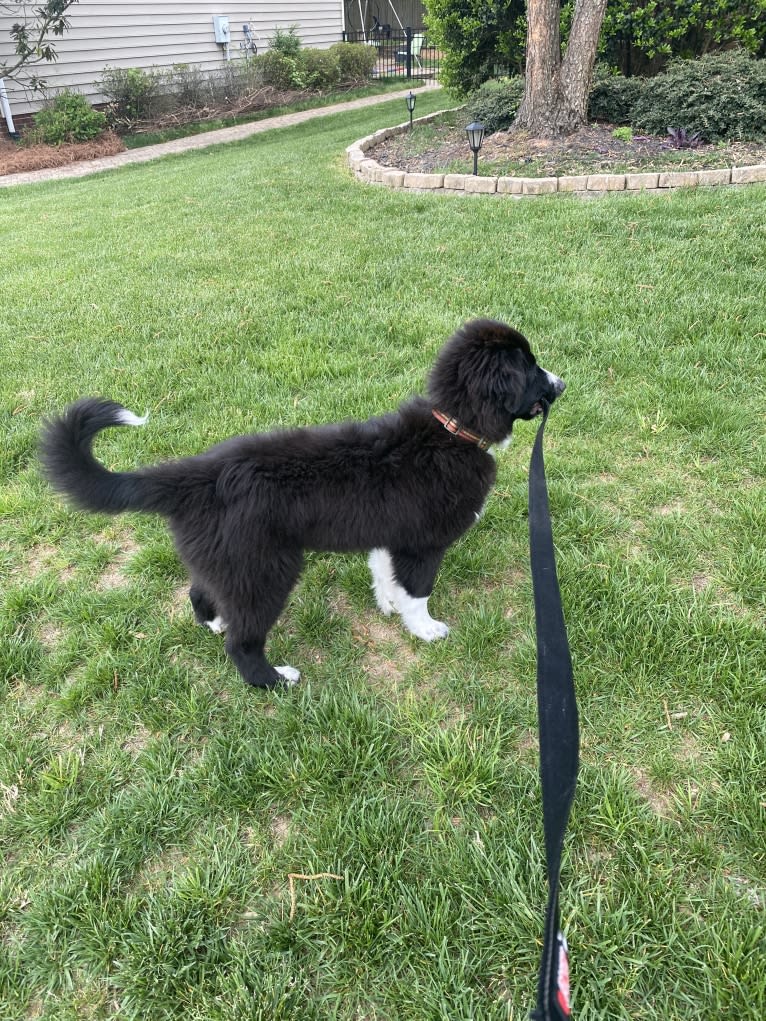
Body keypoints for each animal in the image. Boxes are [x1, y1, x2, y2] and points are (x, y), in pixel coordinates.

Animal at [41, 316, 567, 686]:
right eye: (530, 367)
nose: (563, 384)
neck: (452, 429)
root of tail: (199, 474)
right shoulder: (422, 544)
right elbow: (418, 592)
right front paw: (425, 629)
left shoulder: (389, 535)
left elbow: (385, 574)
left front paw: (388, 607)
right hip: (265, 568)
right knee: (244, 643)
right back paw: (274, 680)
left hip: (227, 560)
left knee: (201, 592)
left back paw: (215, 623)